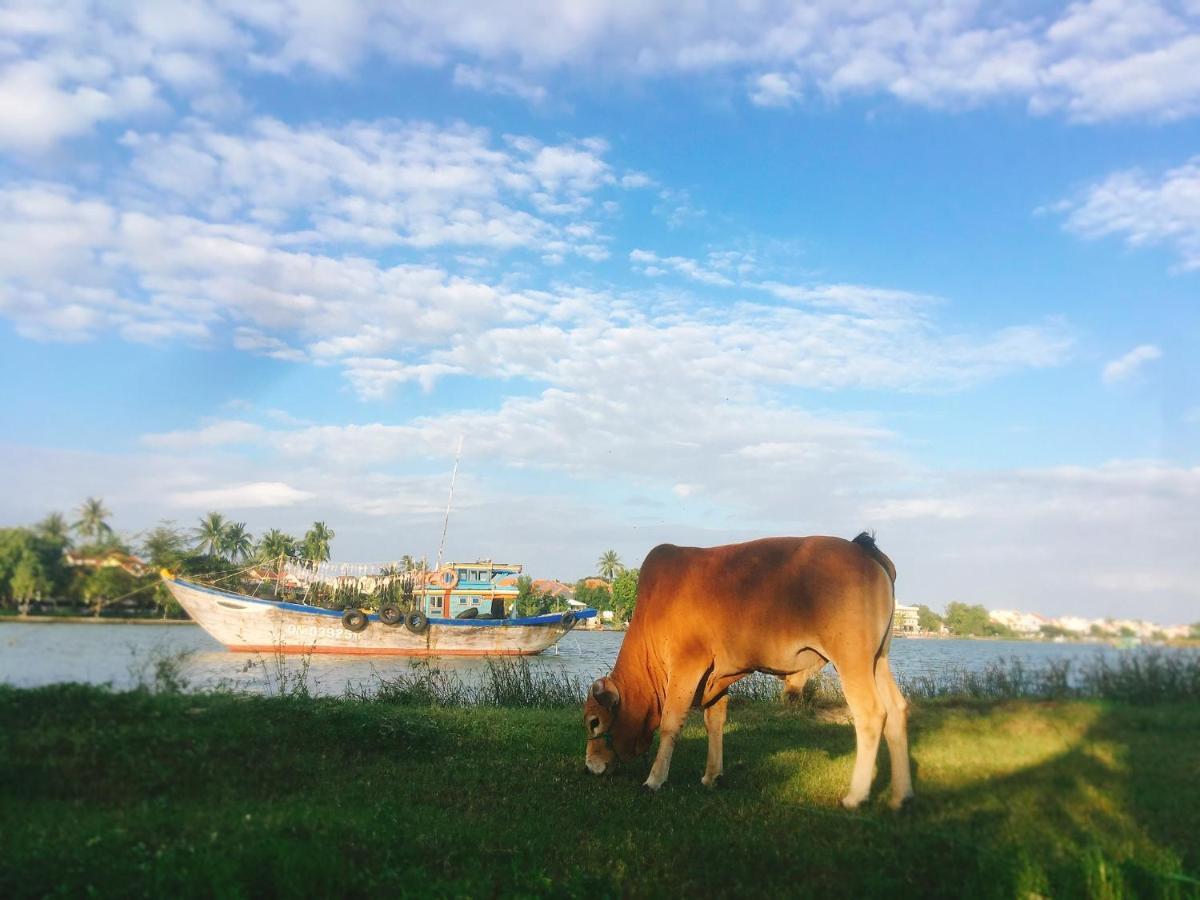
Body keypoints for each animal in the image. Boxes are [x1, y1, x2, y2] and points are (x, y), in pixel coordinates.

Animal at [580, 532, 907, 816]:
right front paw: (711, 776)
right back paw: (900, 796)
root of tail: (862, 550)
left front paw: (654, 780)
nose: (588, 766)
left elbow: (671, 724)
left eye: (594, 722)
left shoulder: (686, 666)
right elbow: (715, 723)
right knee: (896, 709)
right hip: (878, 660)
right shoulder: (716, 677)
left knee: (871, 715)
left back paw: (855, 796)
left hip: (852, 661)